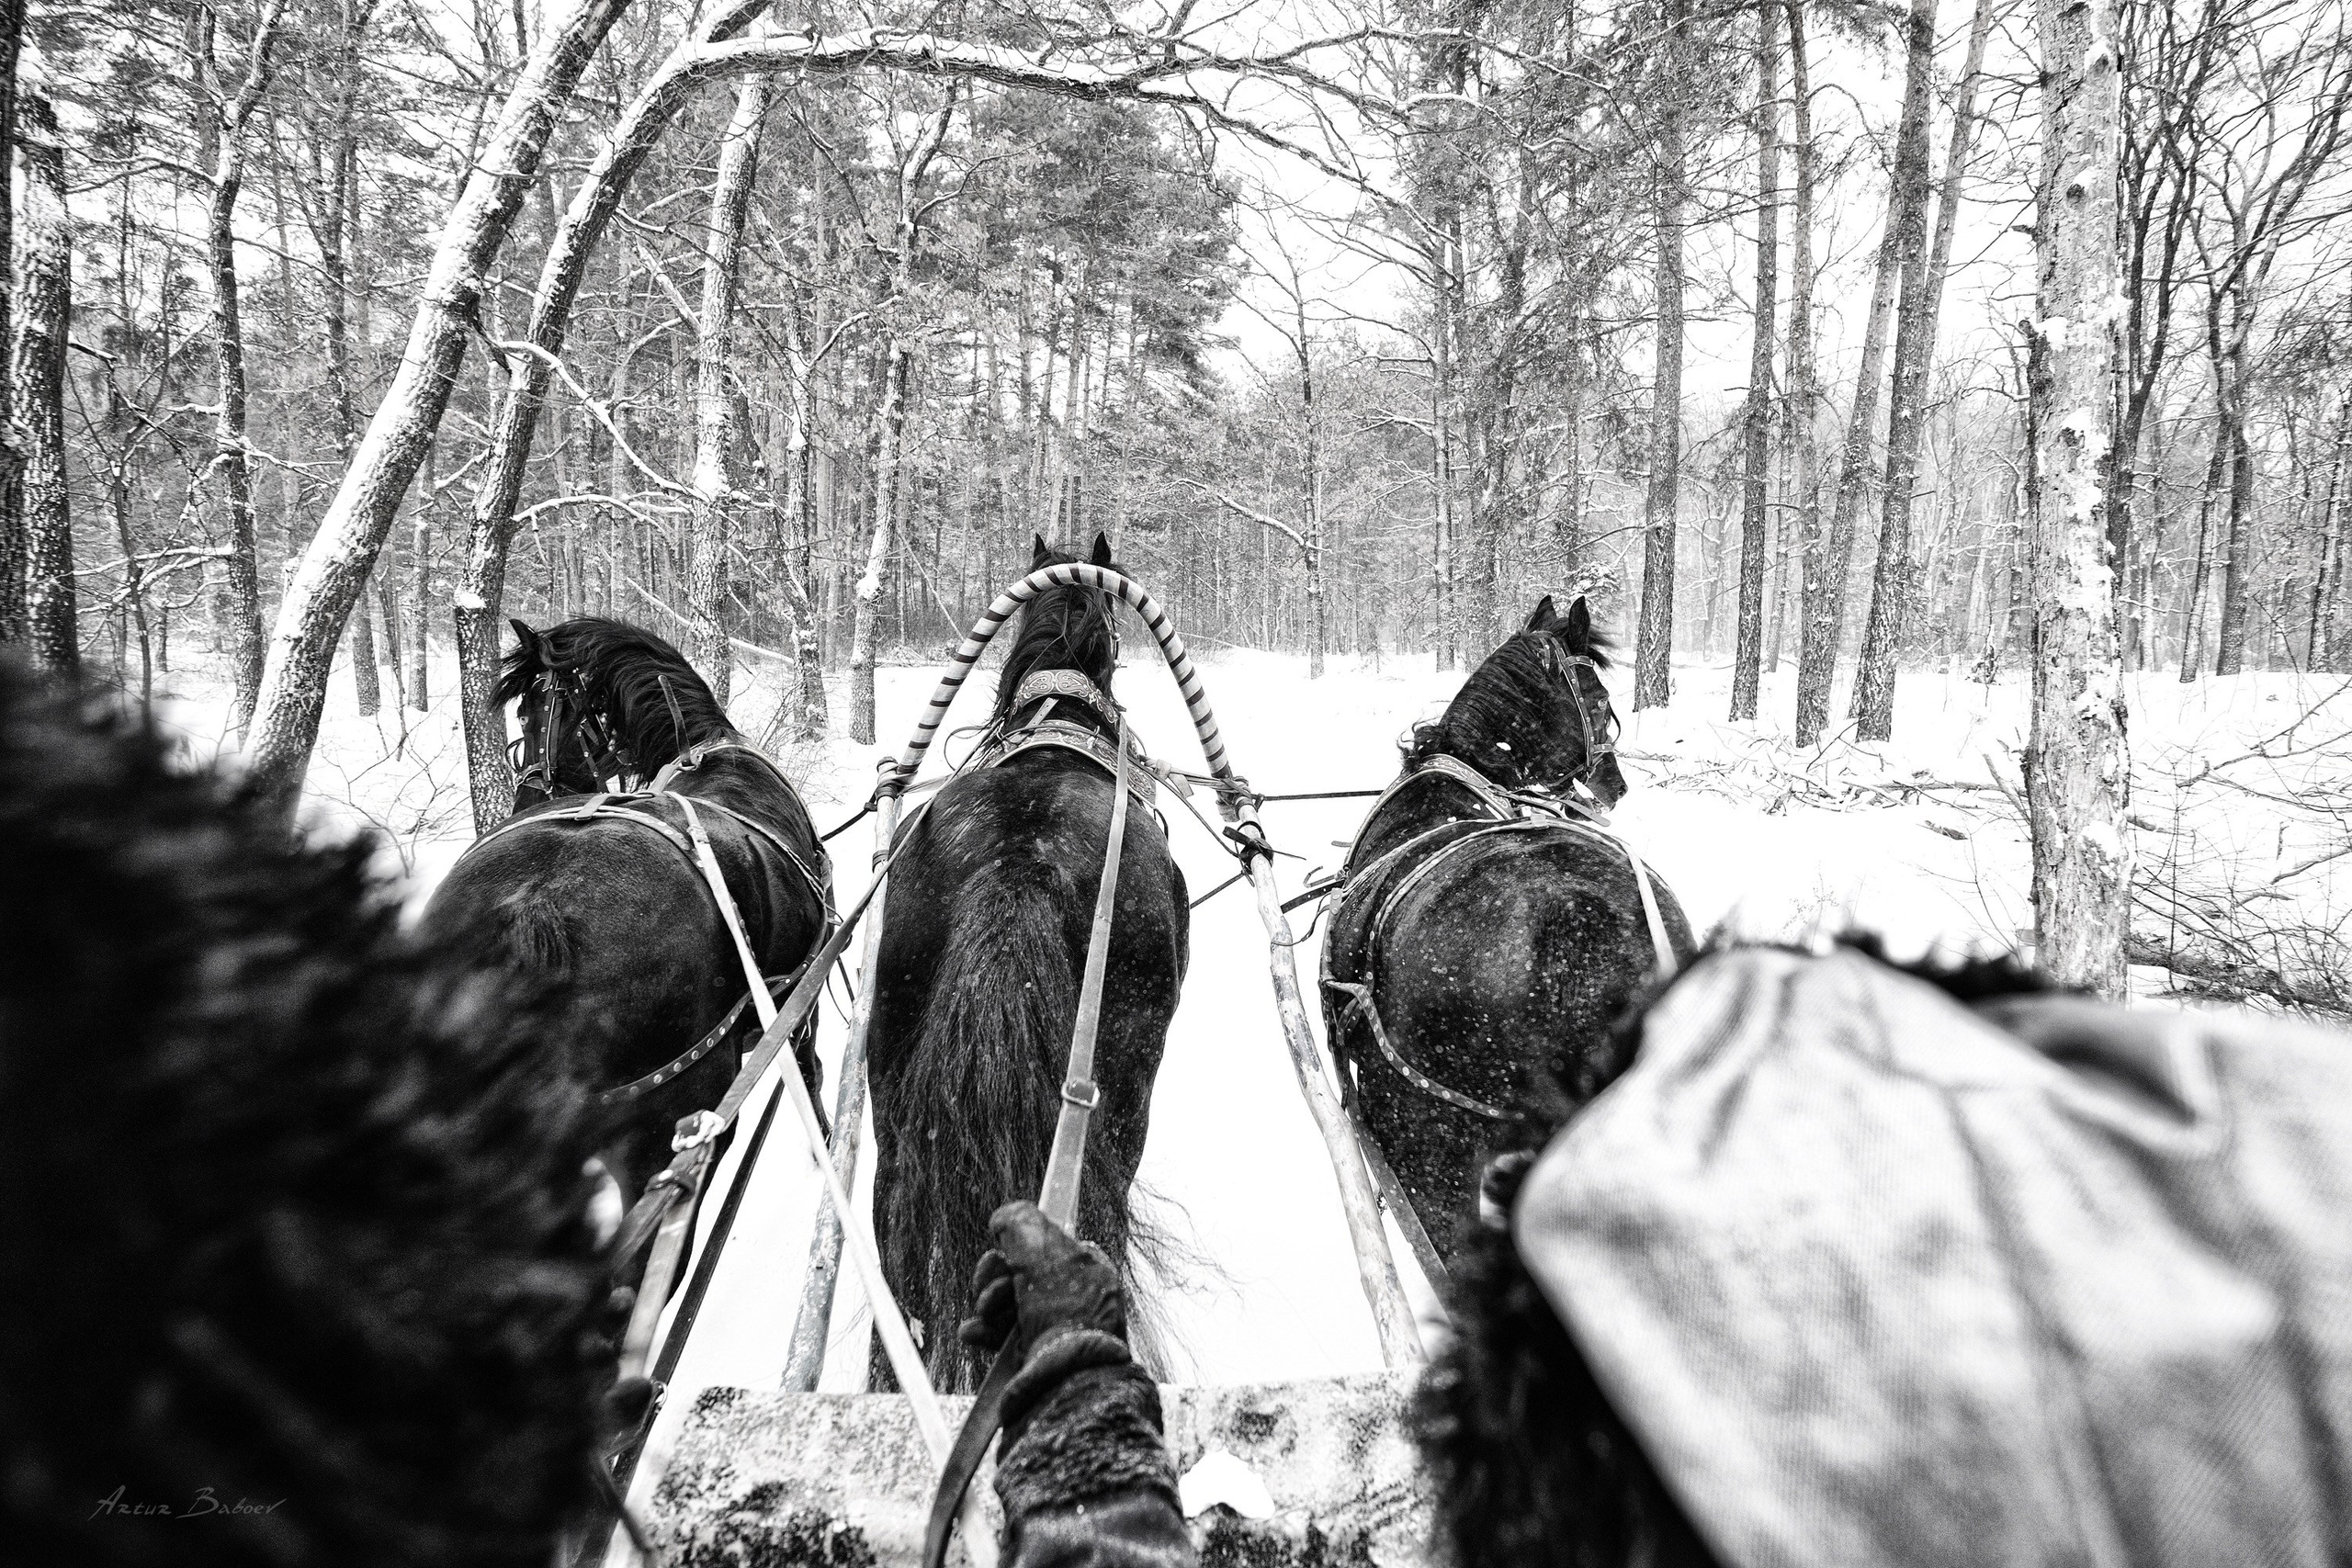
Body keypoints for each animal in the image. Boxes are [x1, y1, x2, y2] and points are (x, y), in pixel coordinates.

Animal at [414, 618, 834, 1206]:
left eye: (542, 711)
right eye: (523, 713)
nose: (527, 800)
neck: (709, 750)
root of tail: (531, 913)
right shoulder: (803, 993)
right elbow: (810, 1070)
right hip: (663, 1122)